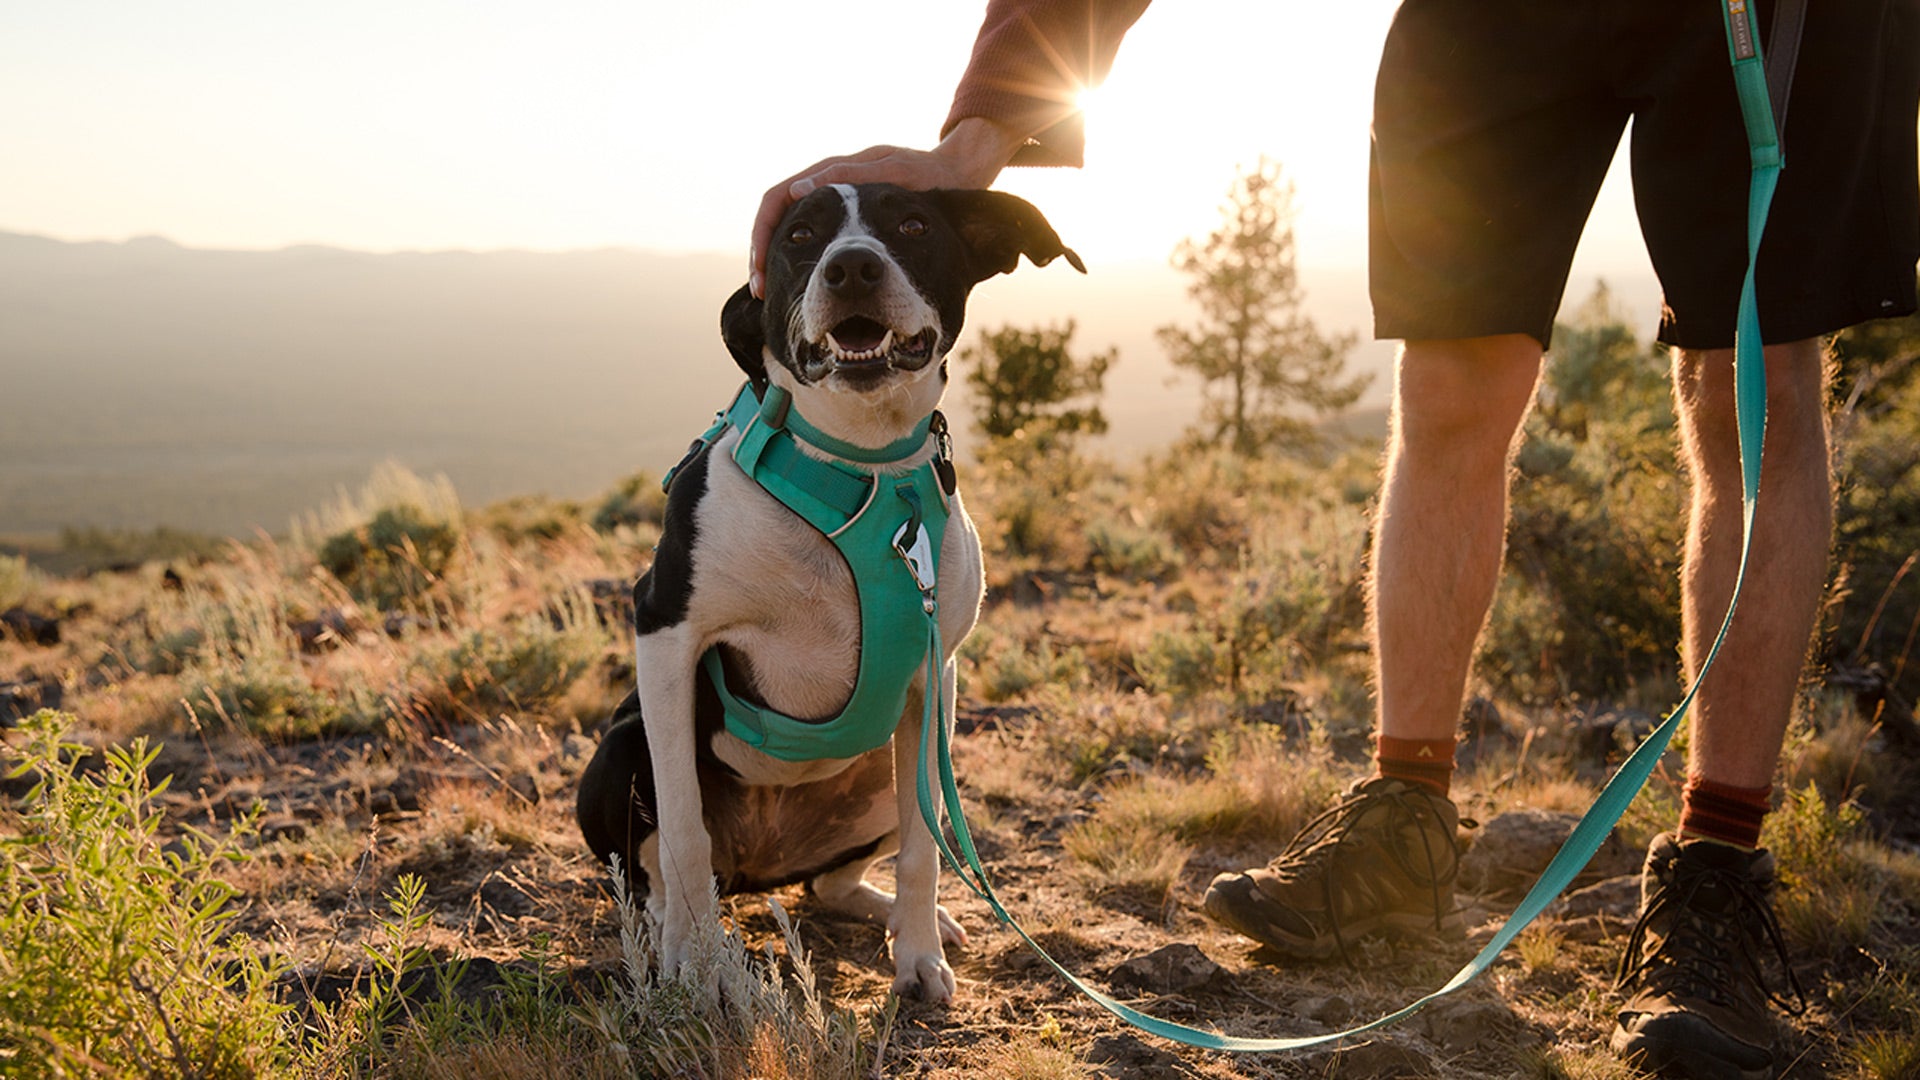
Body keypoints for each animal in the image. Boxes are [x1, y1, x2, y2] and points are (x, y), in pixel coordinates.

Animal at [572, 180, 1082, 999]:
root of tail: (760, 866)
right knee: (659, 875)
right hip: (619, 752)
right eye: (799, 237)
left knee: (839, 877)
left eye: (913, 223)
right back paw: (677, 929)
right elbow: (682, 827)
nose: (852, 268)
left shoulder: (934, 678)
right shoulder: (666, 631)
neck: (860, 465)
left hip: (891, 769)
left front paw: (918, 959)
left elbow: (923, 848)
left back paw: (900, 916)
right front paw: (697, 964)